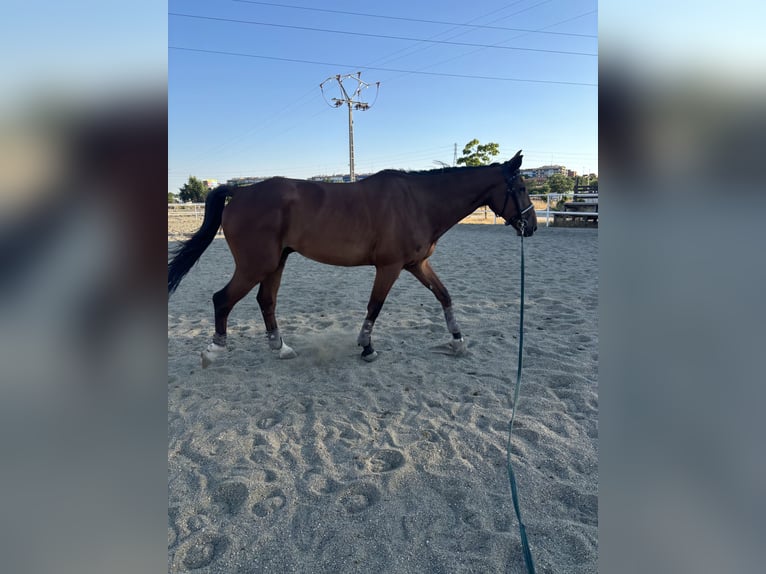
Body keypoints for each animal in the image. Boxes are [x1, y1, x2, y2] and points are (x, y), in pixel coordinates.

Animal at [170, 148, 536, 364]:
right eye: (520, 188)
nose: (531, 226)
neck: (418, 202)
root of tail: (241, 191)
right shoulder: (389, 267)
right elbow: (375, 306)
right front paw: (366, 346)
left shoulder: (417, 265)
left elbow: (445, 296)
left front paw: (458, 342)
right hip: (255, 265)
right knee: (222, 299)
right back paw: (215, 349)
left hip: (276, 263)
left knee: (266, 301)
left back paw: (280, 347)